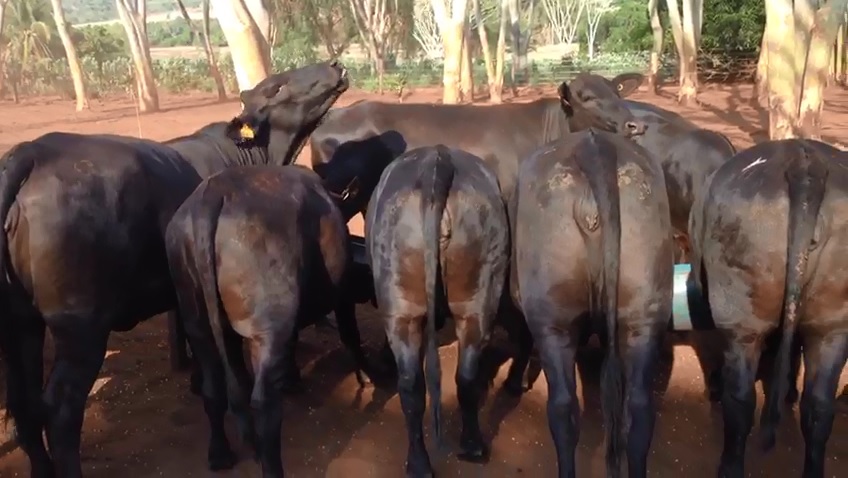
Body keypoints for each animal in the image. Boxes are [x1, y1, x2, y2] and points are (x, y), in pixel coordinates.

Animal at [0, 59, 348, 478]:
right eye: (277, 88)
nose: (334, 64)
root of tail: (33, 151)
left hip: (21, 322)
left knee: (24, 402)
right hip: (80, 327)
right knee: (61, 411)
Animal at [164, 162, 370, 476]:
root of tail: (216, 192)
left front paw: (293, 378)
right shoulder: (342, 292)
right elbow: (350, 333)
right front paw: (368, 376)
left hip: (196, 318)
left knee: (216, 387)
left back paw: (220, 453)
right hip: (269, 329)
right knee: (263, 405)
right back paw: (271, 467)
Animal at [364, 145, 510, 474]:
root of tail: (437, 160)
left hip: (402, 310)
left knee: (411, 384)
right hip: (477, 301)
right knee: (461, 377)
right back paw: (469, 447)